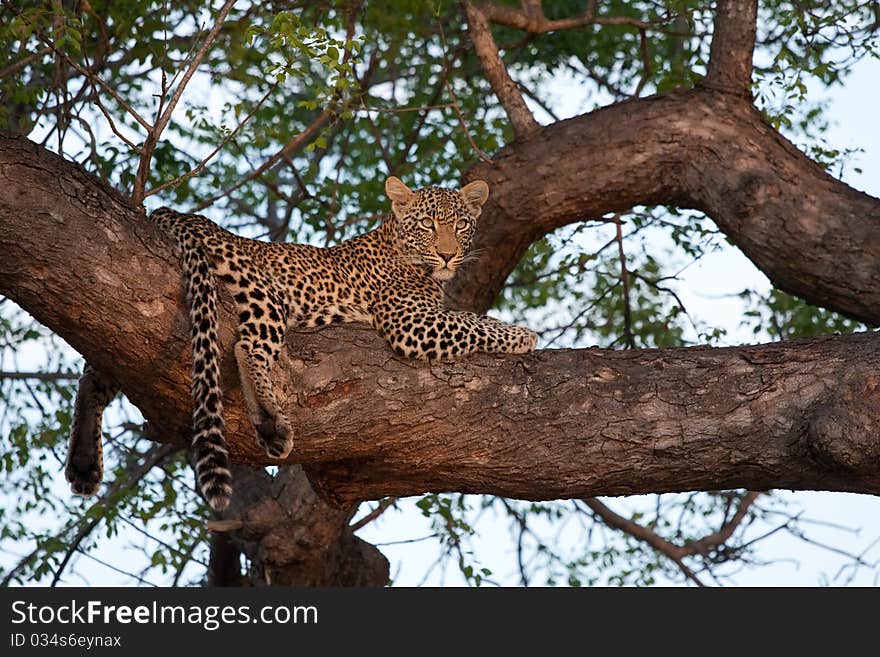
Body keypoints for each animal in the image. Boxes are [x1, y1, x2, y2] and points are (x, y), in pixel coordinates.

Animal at [65, 177, 536, 510]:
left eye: (461, 225)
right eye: (426, 225)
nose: (447, 255)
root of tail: (175, 212)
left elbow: (467, 317)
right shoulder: (410, 322)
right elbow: (471, 322)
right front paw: (524, 335)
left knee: (96, 371)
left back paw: (84, 462)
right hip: (263, 292)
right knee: (247, 346)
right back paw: (272, 421)